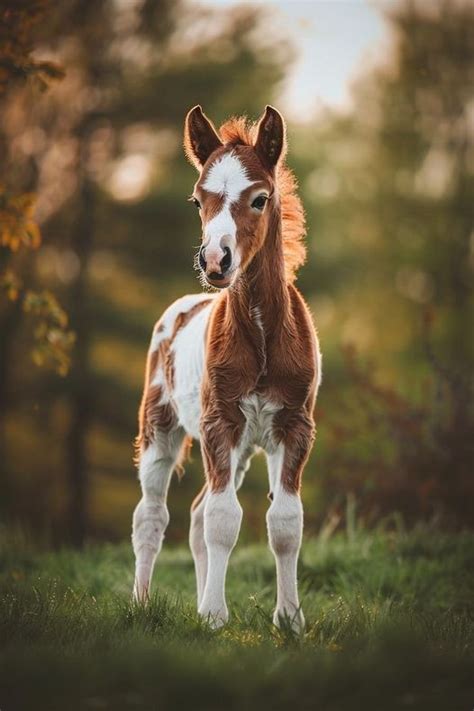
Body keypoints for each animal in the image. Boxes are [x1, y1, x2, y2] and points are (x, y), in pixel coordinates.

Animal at [132, 105, 321, 632]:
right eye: (198, 200)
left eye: (260, 198)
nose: (215, 260)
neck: (261, 335)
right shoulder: (222, 421)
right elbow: (223, 520)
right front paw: (215, 617)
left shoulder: (293, 425)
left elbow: (285, 522)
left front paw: (289, 619)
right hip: (160, 427)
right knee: (152, 515)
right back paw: (141, 604)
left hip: (242, 451)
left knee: (196, 514)